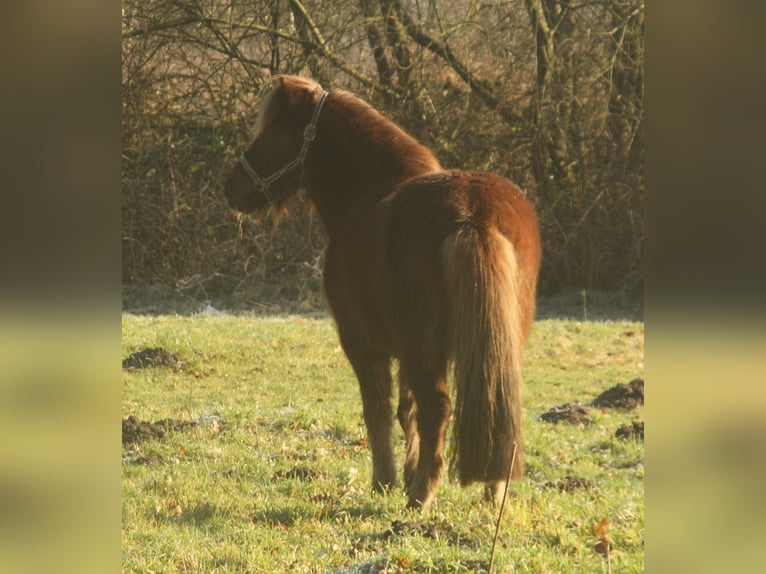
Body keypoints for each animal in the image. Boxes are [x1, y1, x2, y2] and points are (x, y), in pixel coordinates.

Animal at [225, 76, 544, 512]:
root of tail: (474, 214)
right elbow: (406, 411)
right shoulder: (407, 351)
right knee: (494, 402)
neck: (368, 194)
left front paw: (386, 481)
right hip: (490, 346)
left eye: (274, 131)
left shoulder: (362, 344)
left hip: (423, 346)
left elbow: (377, 411)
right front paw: (406, 474)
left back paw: (421, 498)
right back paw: (491, 493)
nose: (231, 187)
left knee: (437, 408)